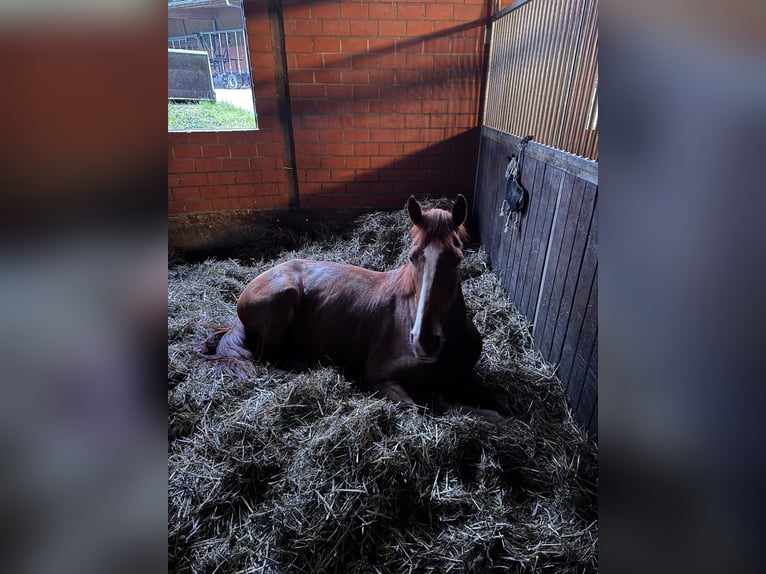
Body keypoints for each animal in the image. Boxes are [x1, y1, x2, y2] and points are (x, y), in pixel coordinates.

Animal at [213, 196, 508, 426]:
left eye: (457, 259)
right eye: (412, 256)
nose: (424, 341)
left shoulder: (466, 377)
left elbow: (500, 404)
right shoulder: (379, 378)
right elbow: (421, 406)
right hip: (285, 297)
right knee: (267, 361)